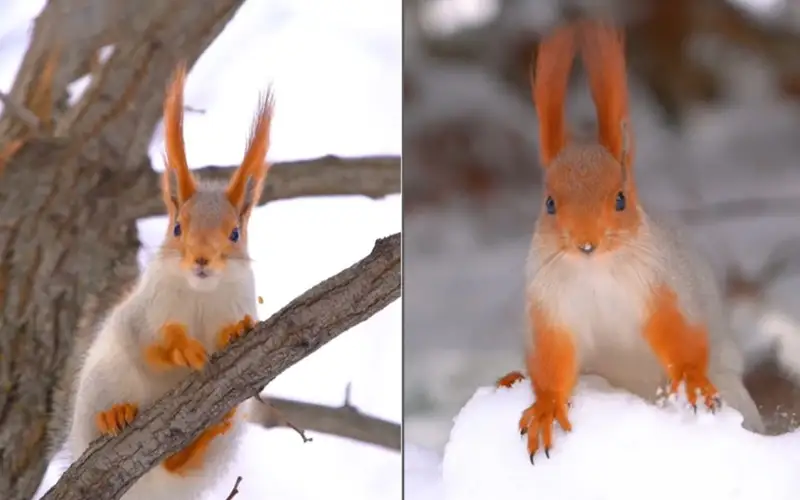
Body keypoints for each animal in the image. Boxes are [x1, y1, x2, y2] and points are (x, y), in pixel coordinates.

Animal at [60, 60, 276, 498]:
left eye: (235, 233)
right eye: (178, 227)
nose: (201, 259)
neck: (200, 294)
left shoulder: (238, 299)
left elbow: (233, 326)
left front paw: (234, 332)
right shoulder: (145, 312)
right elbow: (153, 342)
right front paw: (184, 349)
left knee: (183, 463)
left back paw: (206, 434)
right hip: (103, 380)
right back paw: (114, 416)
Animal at [496, 19, 764, 464]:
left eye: (620, 199)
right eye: (549, 203)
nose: (586, 242)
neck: (595, 271)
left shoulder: (664, 286)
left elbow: (681, 336)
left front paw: (691, 379)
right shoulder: (550, 306)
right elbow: (552, 361)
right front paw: (547, 407)